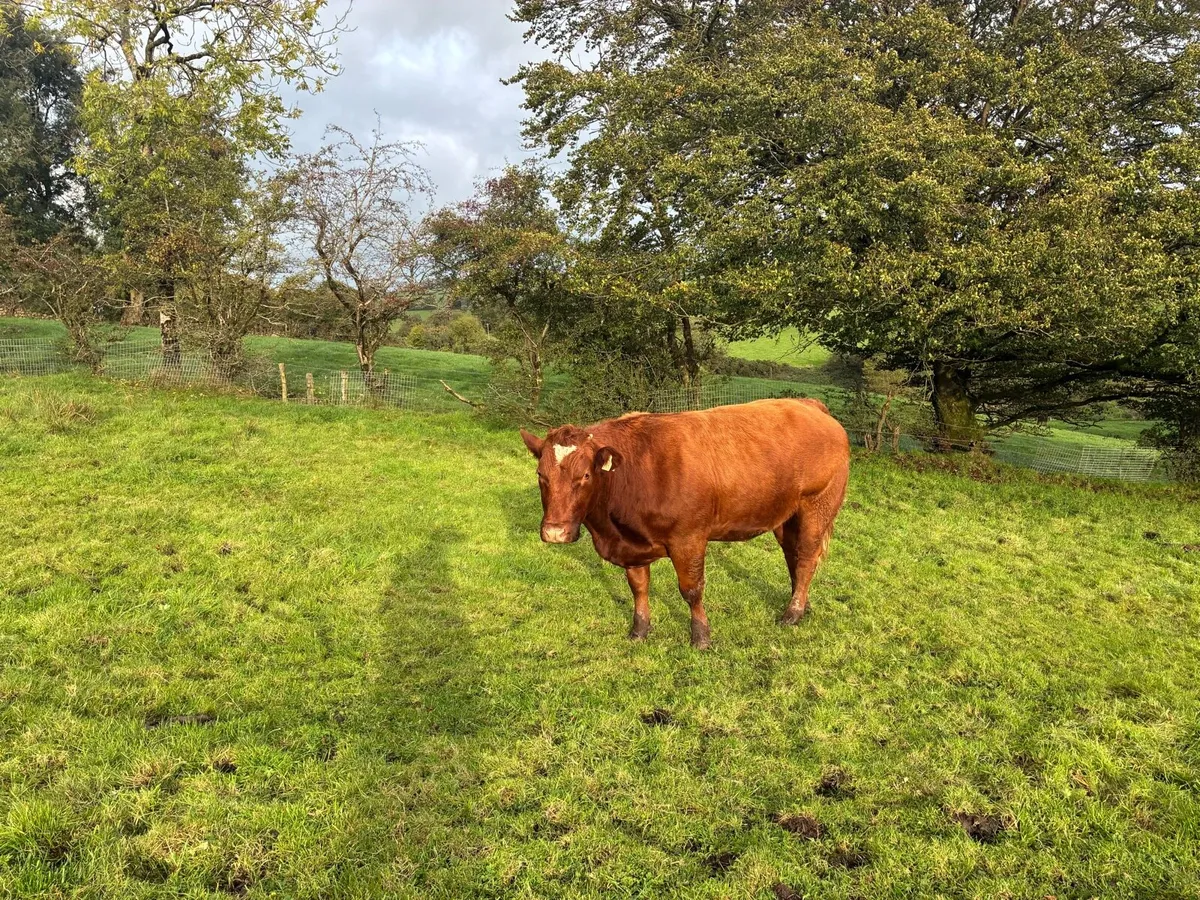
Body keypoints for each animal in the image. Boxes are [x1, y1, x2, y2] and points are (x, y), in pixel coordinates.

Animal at [520, 398, 851, 648]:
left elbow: (691, 589)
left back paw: (792, 612)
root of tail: (809, 404)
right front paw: (640, 629)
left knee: (806, 557)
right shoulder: (631, 546)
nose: (555, 532)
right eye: (540, 475)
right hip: (785, 515)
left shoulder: (688, 538)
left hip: (817, 505)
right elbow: (638, 586)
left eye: (585, 476)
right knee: (793, 556)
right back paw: (802, 603)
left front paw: (701, 637)